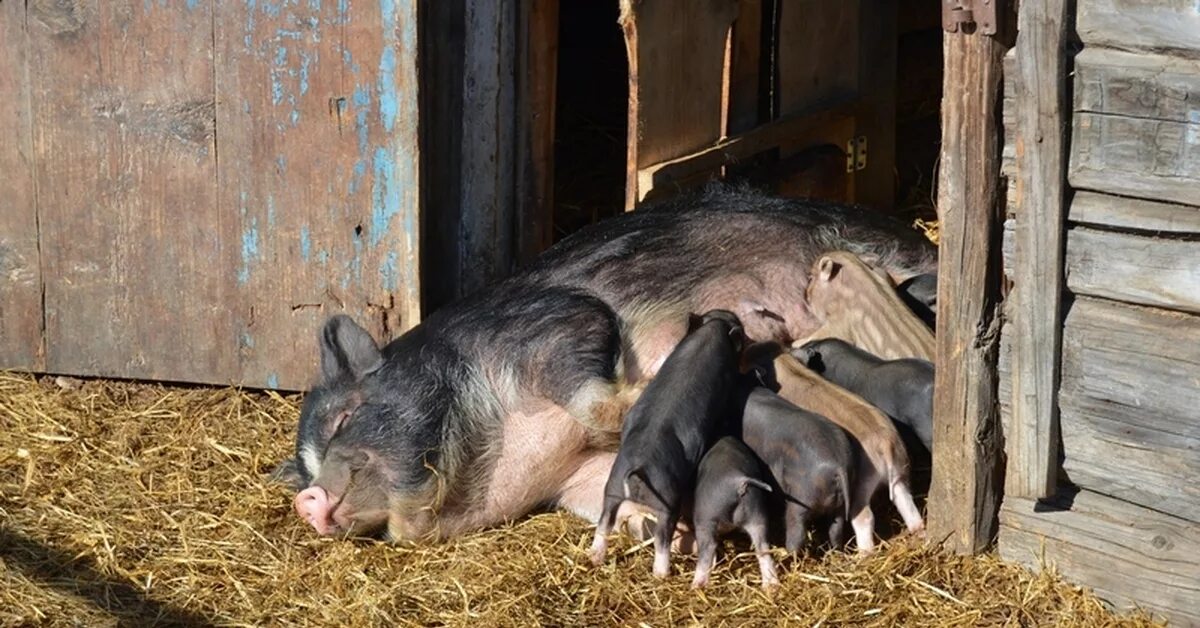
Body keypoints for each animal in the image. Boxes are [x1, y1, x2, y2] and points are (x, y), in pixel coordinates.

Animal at [276, 184, 931, 542]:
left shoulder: (556, 322)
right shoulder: (573, 478)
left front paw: (644, 390)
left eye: (345, 418)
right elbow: (604, 494)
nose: (307, 503)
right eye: (305, 474)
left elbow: (587, 388)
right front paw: (655, 527)